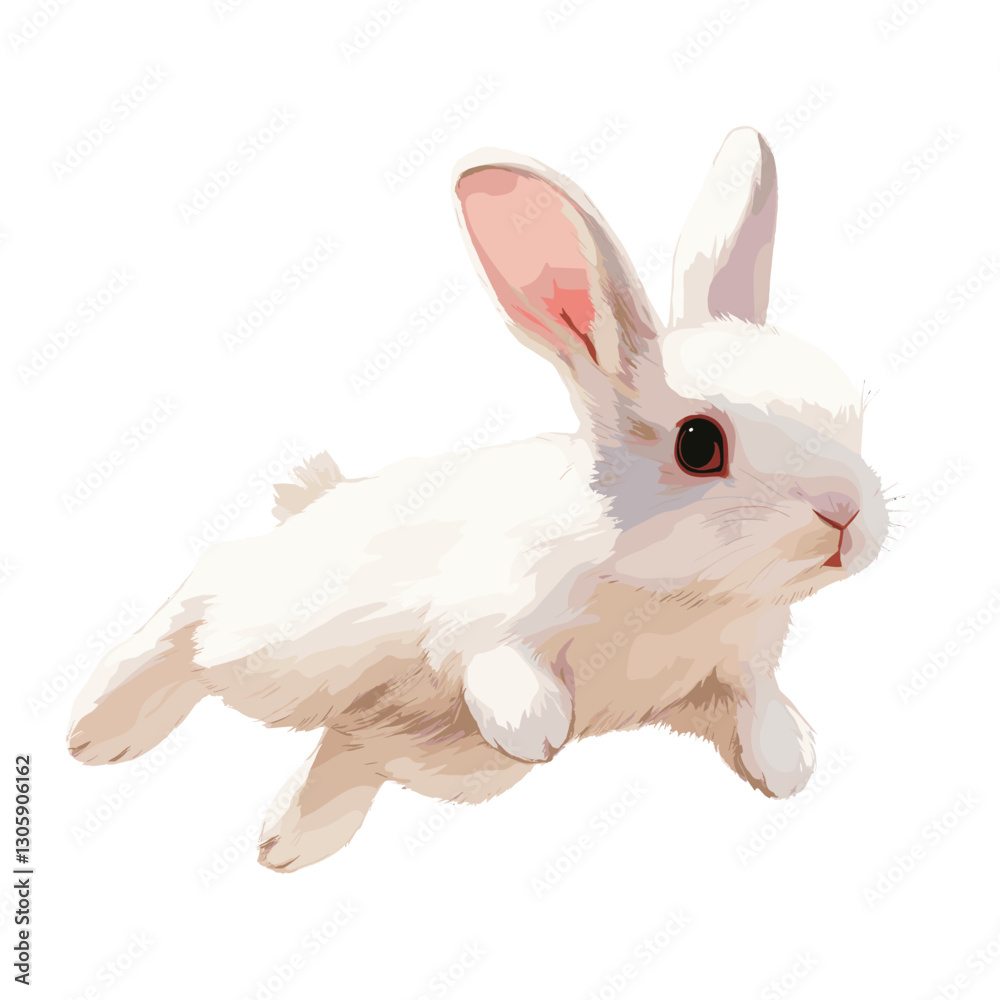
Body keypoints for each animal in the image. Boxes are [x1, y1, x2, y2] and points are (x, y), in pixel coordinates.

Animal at [67, 127, 889, 873]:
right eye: (698, 444)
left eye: (853, 411)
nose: (847, 516)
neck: (679, 594)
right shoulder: (486, 611)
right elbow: (493, 656)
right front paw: (538, 723)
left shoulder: (729, 677)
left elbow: (756, 704)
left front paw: (789, 762)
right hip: (277, 639)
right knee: (201, 599)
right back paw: (97, 728)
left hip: (435, 758)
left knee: (345, 743)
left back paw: (289, 845)